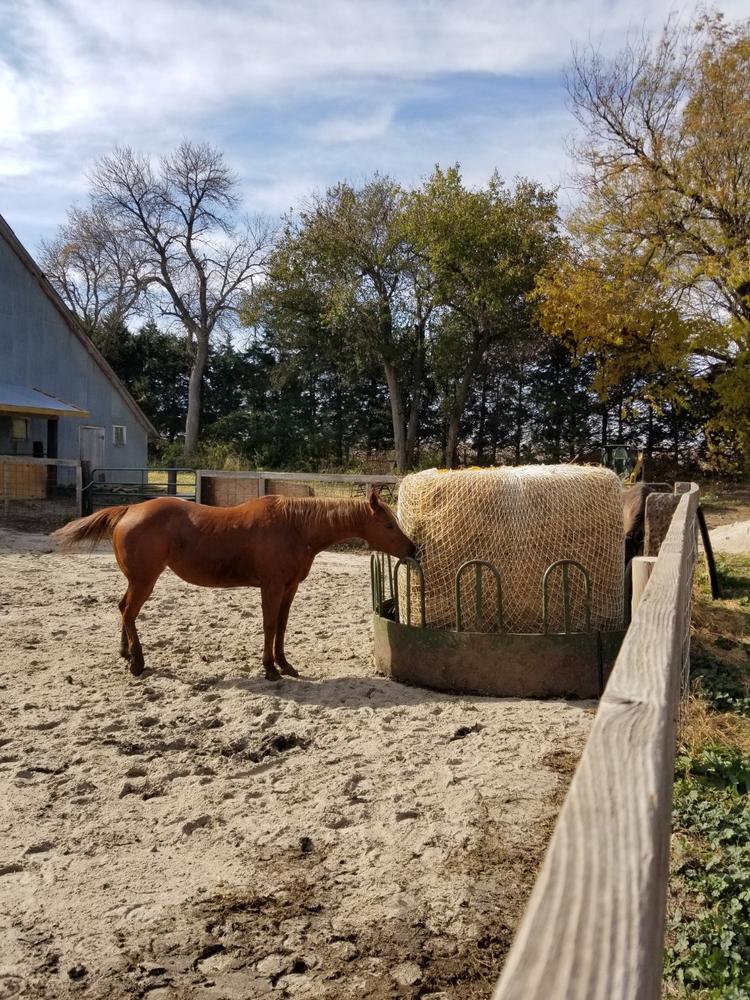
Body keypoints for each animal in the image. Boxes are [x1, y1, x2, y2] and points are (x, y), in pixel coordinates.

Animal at [53, 490, 418, 680]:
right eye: (387, 524)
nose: (413, 548)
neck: (295, 526)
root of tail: (130, 508)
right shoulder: (271, 587)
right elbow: (269, 625)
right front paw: (270, 668)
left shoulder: (289, 588)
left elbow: (282, 626)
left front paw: (285, 664)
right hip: (145, 580)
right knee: (129, 612)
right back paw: (137, 663)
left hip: (137, 579)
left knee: (122, 610)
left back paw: (126, 652)